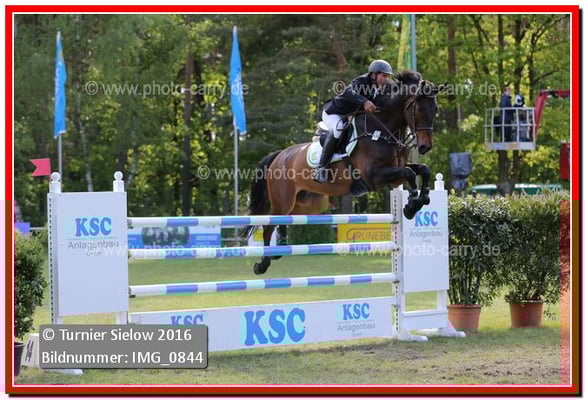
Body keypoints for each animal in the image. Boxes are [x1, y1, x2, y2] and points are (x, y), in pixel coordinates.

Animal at [245, 70, 442, 275]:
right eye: (420, 109)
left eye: (435, 110)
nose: (425, 147)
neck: (381, 129)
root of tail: (279, 155)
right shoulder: (374, 177)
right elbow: (410, 174)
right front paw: (411, 206)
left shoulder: (395, 174)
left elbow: (423, 170)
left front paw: (422, 199)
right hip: (282, 198)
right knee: (269, 225)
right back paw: (263, 263)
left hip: (308, 203)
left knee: (286, 218)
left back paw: (280, 248)